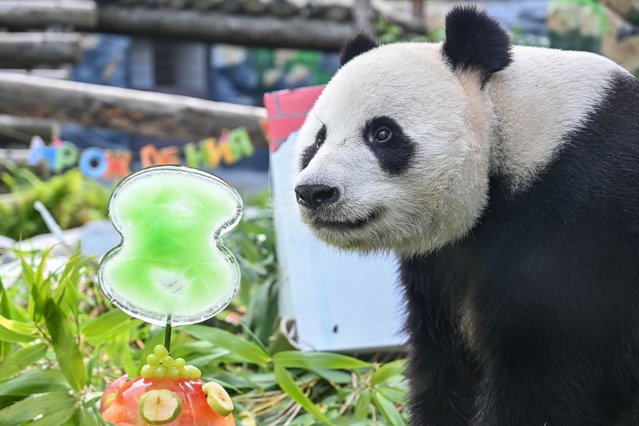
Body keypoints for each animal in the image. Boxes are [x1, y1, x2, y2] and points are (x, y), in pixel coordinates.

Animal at [294, 4, 639, 426]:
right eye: (319, 138)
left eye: (382, 133)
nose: (315, 192)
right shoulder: (443, 264)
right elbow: (444, 363)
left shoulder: (583, 218)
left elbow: (548, 375)